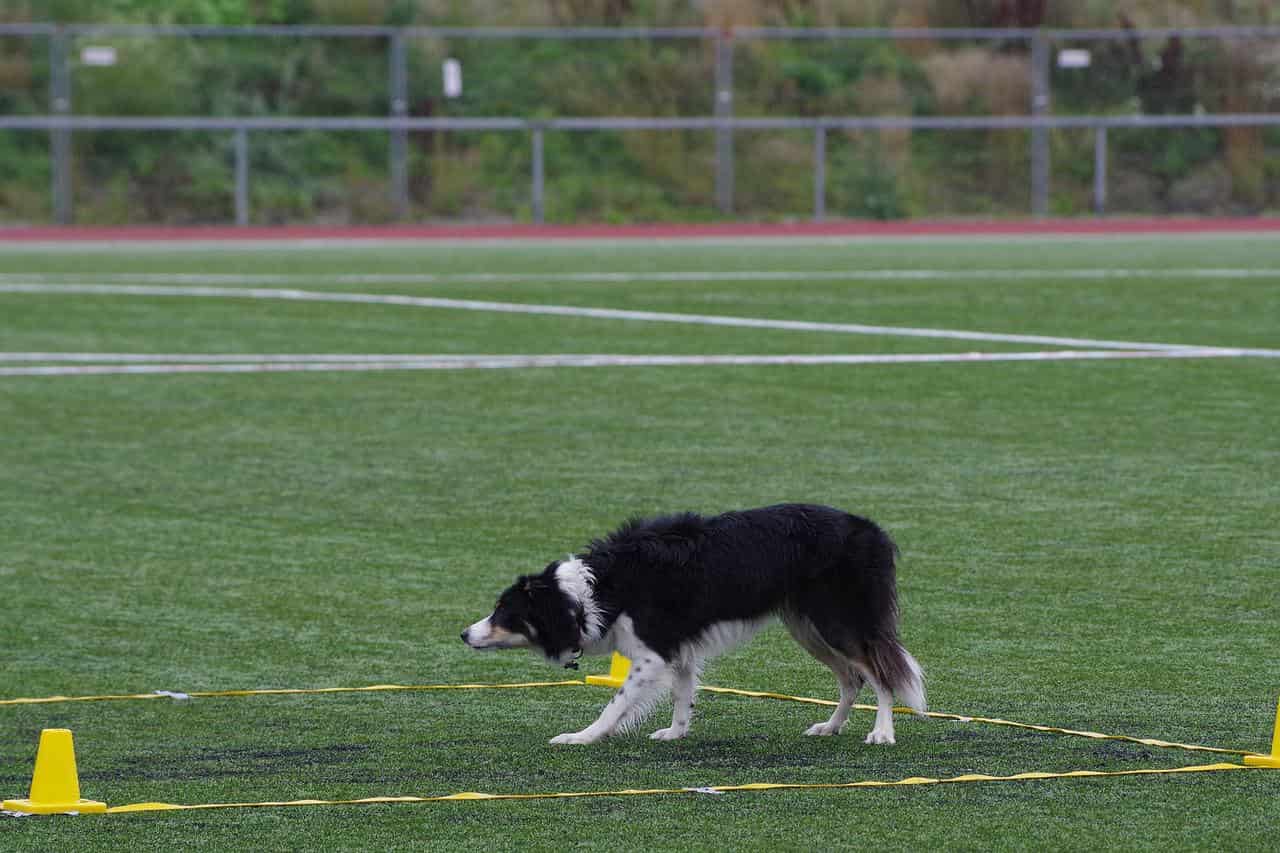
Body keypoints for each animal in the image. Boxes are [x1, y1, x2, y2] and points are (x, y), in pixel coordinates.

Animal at [465, 502, 926, 742]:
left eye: (505, 613)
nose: (464, 633)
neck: (592, 592)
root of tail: (873, 530)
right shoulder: (678, 648)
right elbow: (683, 693)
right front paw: (676, 733)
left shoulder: (652, 653)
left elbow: (615, 704)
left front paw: (582, 737)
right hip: (808, 629)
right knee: (852, 678)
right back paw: (830, 727)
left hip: (838, 623)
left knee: (881, 672)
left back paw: (882, 732)